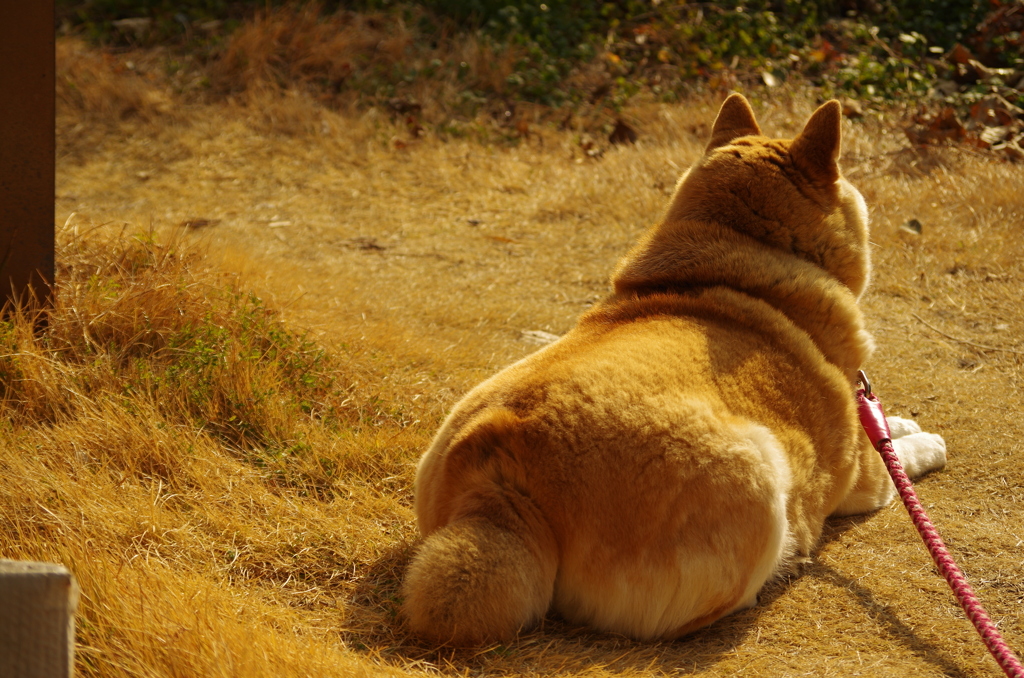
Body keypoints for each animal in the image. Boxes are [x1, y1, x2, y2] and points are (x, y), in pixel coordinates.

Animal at [397, 94, 942, 647]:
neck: (741, 258)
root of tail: (496, 481)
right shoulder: (865, 476)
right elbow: (896, 460)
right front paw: (924, 443)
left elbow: (884, 425)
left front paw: (899, 422)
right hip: (757, 468)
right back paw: (786, 559)